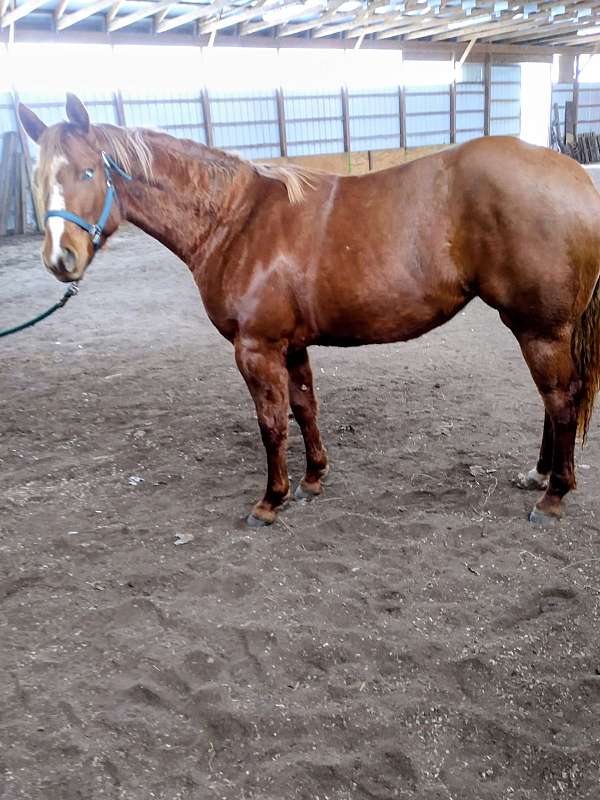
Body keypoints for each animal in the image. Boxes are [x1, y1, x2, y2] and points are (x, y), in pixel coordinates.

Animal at [17, 93, 600, 528]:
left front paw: (270, 501)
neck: (236, 220)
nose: (60, 259)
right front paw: (314, 478)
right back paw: (539, 474)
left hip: (540, 329)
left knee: (561, 400)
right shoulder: (291, 345)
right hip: (538, 328)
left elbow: (271, 423)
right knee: (553, 402)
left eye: (88, 173)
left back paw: (553, 494)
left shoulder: (256, 348)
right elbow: (304, 409)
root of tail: (576, 177)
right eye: (39, 177)